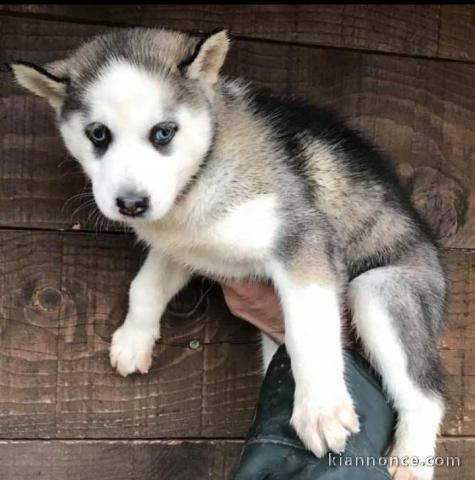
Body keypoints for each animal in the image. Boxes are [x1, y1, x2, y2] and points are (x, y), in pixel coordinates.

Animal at [12, 28, 450, 478]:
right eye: (98, 134)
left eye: (164, 133)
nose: (132, 204)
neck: (199, 177)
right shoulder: (182, 246)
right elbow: (145, 286)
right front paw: (133, 339)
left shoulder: (303, 240)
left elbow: (309, 331)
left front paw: (320, 410)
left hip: (382, 287)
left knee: (426, 396)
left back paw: (410, 460)